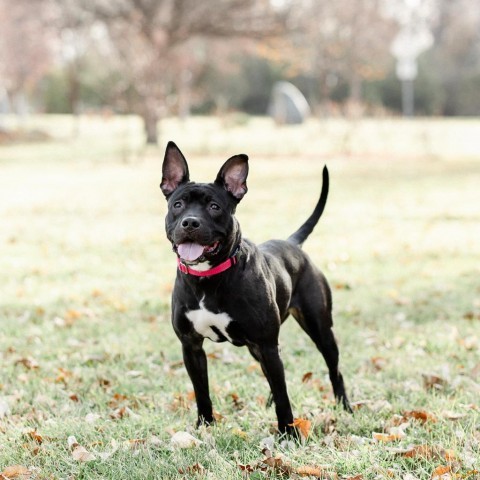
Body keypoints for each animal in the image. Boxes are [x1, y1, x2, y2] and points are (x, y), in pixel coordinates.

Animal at [159, 142, 350, 436]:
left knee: (333, 369)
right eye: (177, 205)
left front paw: (288, 434)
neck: (208, 278)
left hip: (320, 330)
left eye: (214, 206)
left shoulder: (267, 343)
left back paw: (345, 407)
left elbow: (283, 396)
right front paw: (205, 427)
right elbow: (201, 391)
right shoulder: (191, 346)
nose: (190, 222)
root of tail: (292, 243)